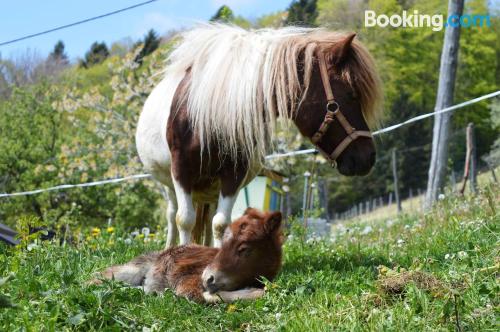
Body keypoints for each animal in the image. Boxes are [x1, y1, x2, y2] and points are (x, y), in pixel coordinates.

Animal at [90, 209, 284, 302]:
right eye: (223, 244)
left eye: (244, 249)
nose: (208, 278)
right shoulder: (187, 281)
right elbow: (201, 296)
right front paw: (254, 292)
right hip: (129, 272)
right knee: (98, 278)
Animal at [135, 22, 380, 246]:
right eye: (351, 95)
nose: (368, 157)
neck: (211, 113)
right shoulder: (181, 170)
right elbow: (184, 219)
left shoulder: (233, 173)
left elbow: (220, 224)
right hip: (168, 183)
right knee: (172, 214)